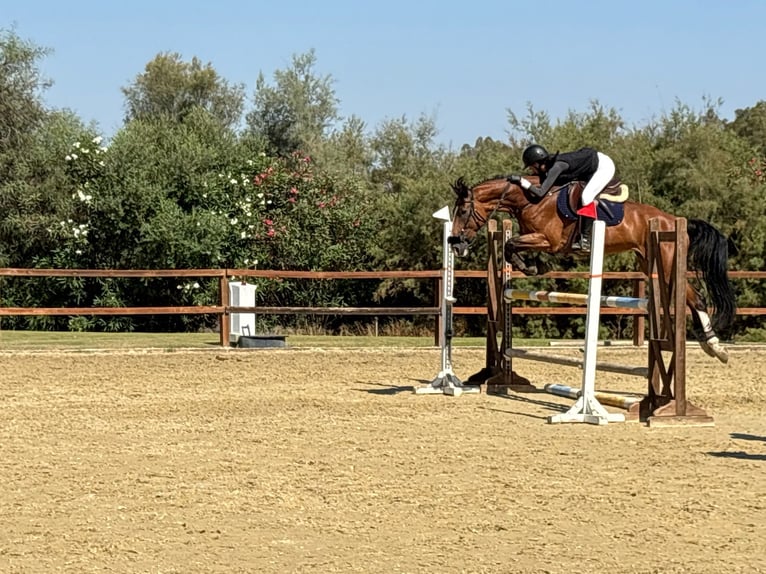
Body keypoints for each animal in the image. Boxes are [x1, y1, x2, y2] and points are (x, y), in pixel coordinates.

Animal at [449, 175, 736, 363]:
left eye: (462, 211)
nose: (455, 244)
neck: (532, 199)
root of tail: (674, 220)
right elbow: (511, 246)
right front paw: (535, 265)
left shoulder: (549, 240)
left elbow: (510, 244)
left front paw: (532, 266)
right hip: (650, 262)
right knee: (693, 298)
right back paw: (713, 347)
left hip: (665, 264)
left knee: (696, 298)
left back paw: (716, 347)